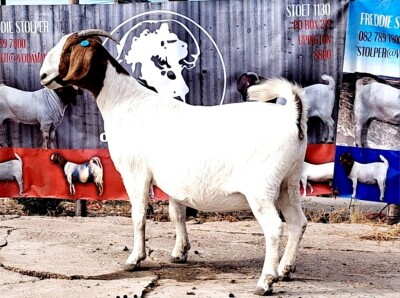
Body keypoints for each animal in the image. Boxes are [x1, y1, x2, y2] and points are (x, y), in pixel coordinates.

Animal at [40, 29, 308, 296]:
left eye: (68, 50)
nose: (43, 76)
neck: (126, 102)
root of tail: (292, 116)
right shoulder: (173, 181)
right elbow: (176, 214)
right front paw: (180, 252)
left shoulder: (135, 172)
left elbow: (138, 215)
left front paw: (135, 259)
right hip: (288, 182)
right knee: (298, 222)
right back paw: (285, 269)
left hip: (261, 188)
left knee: (274, 228)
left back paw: (266, 281)